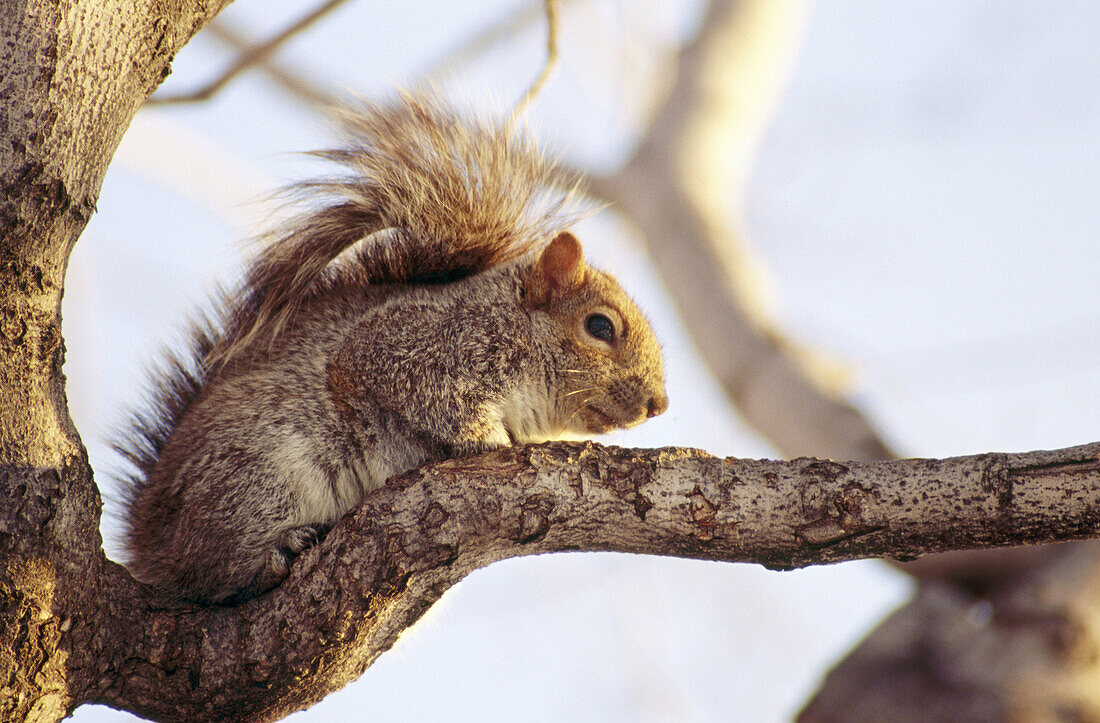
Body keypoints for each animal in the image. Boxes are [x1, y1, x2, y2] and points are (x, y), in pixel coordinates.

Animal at [120, 94, 668, 603]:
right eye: (599, 326)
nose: (658, 404)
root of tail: (149, 542)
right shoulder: (406, 348)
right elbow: (434, 401)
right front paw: (487, 438)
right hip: (252, 477)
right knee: (211, 573)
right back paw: (273, 552)